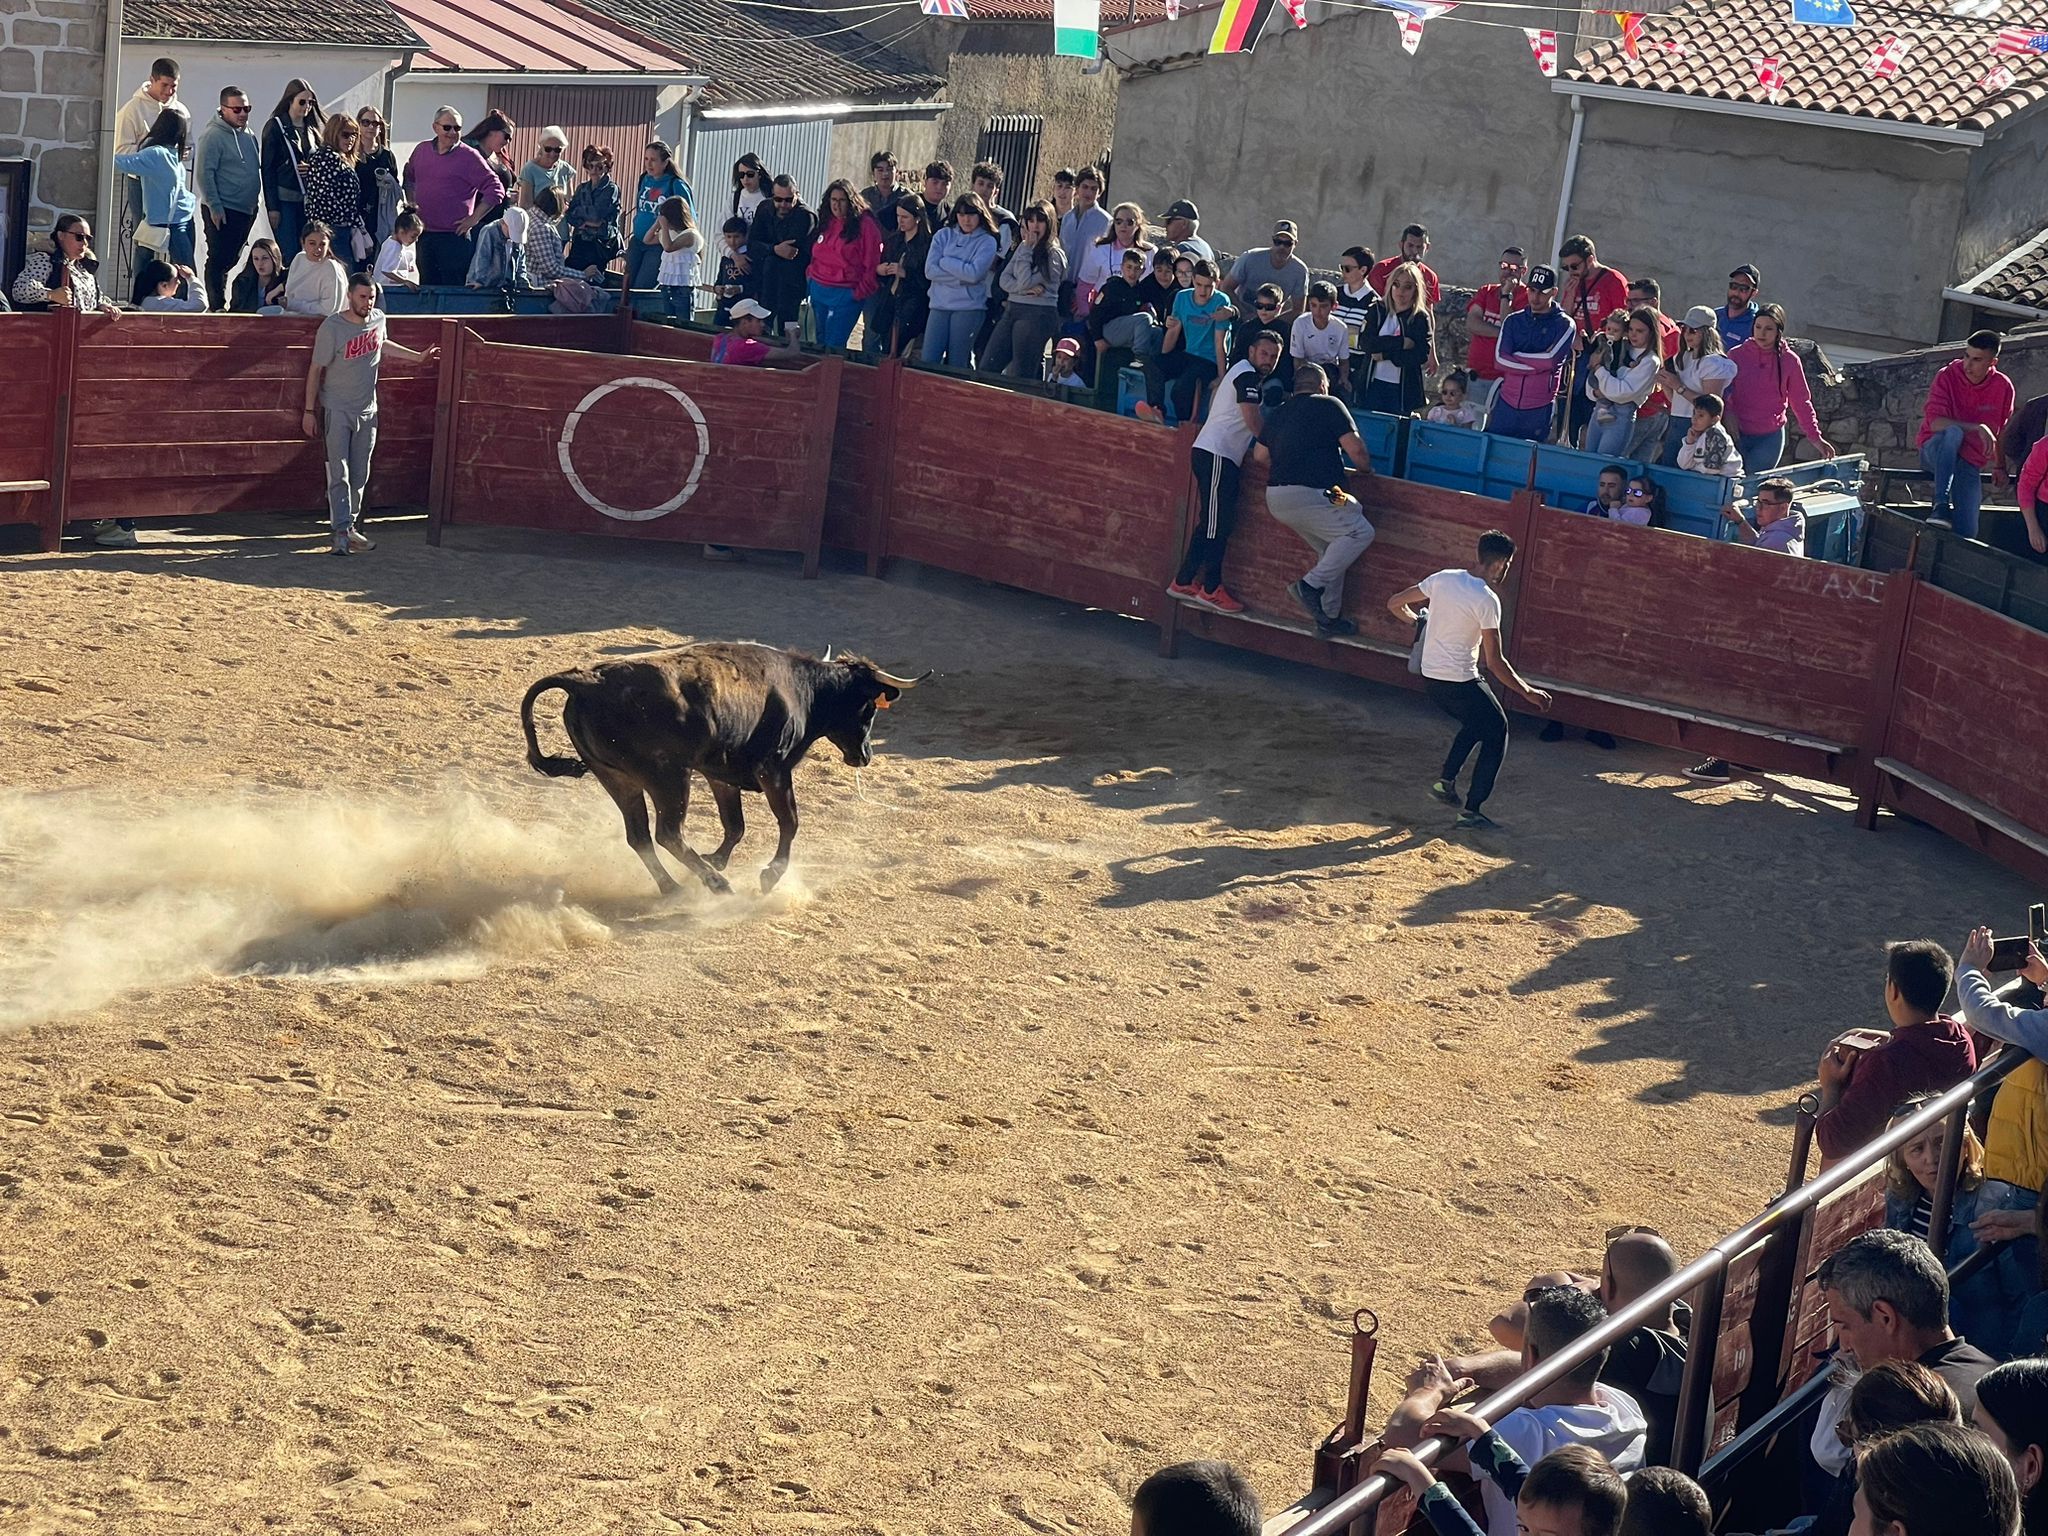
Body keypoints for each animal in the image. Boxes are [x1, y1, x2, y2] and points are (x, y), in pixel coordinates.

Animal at [520, 643, 929, 897]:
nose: (864, 756)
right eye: (869, 707)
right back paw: (716, 884)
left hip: (617, 780)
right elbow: (789, 822)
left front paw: (715, 858)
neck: (801, 690)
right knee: (667, 832)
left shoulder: (720, 774)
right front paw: (768, 875)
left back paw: (676, 886)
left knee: (639, 836)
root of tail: (587, 680)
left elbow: (736, 826)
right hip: (668, 778)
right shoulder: (773, 768)